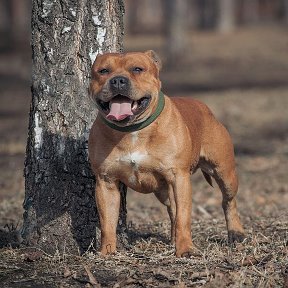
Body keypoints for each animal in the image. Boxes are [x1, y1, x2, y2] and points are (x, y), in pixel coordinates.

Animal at [88, 50, 245, 256]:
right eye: (103, 71)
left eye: (137, 69)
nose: (118, 81)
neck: (132, 130)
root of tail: (205, 108)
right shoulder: (106, 182)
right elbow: (107, 222)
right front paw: (106, 252)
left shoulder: (179, 178)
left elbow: (184, 217)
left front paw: (186, 249)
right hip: (163, 191)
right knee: (172, 210)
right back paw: (172, 239)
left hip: (224, 172)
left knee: (228, 201)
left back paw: (236, 233)